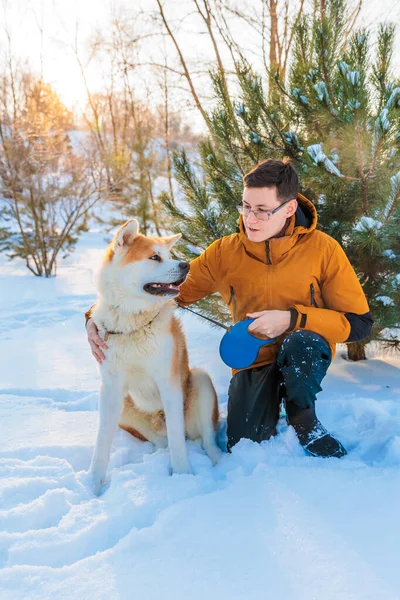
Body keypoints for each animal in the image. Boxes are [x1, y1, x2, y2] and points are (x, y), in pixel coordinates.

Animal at [87, 218, 222, 494]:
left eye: (169, 256)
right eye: (154, 257)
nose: (185, 265)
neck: (132, 324)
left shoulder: (169, 383)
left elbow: (179, 442)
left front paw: (183, 477)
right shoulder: (111, 388)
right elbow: (102, 442)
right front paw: (93, 486)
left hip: (201, 381)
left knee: (205, 439)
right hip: (123, 408)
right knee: (164, 442)